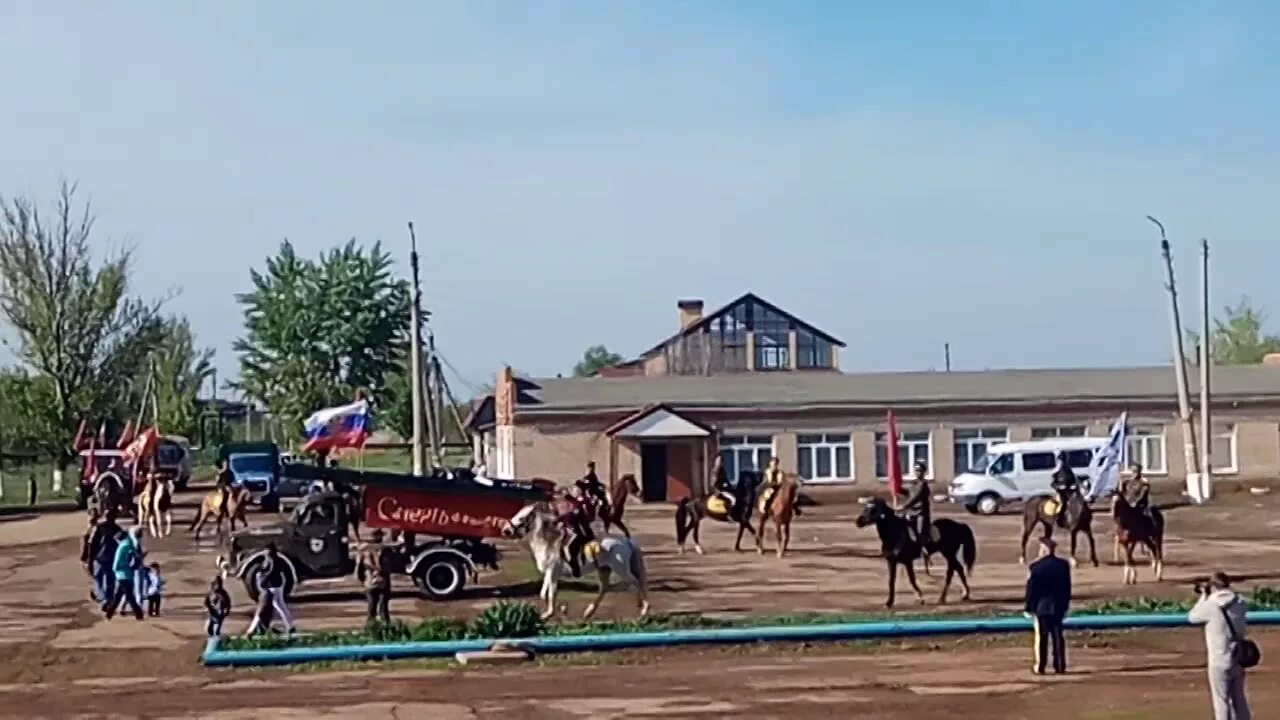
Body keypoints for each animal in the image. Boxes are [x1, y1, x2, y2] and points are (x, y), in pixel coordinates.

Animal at [499, 499, 650, 617]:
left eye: (521, 518)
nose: (506, 530)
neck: (548, 542)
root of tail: (626, 541)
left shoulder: (552, 571)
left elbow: (548, 593)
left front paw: (550, 613)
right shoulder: (551, 574)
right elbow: (549, 592)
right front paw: (554, 611)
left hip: (621, 569)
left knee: (636, 582)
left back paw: (644, 608)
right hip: (604, 569)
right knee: (605, 588)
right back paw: (589, 612)